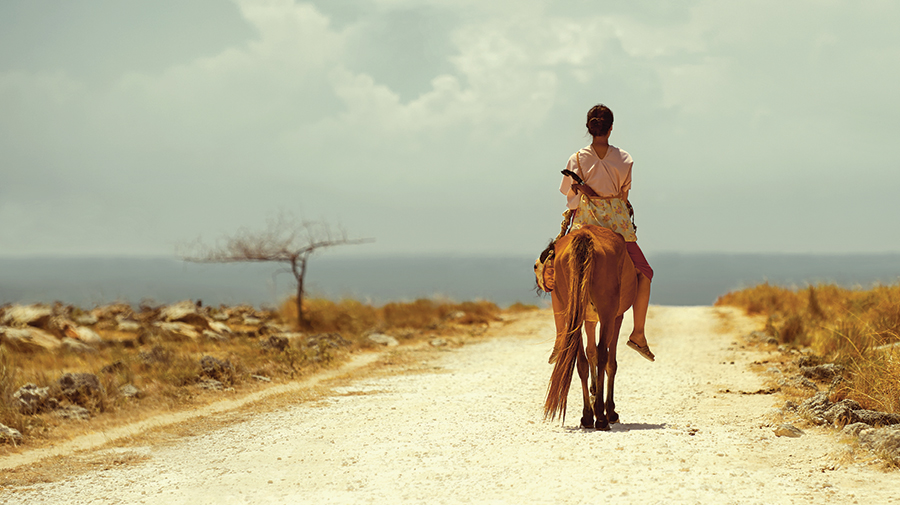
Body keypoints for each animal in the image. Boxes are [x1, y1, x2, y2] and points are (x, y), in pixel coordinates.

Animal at [540, 224, 640, 430]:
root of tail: (585, 236)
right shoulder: (616, 316)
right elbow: (609, 362)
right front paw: (609, 410)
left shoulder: (589, 319)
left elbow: (590, 352)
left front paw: (594, 399)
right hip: (608, 312)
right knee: (603, 355)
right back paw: (601, 416)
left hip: (574, 313)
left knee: (581, 361)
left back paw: (587, 415)